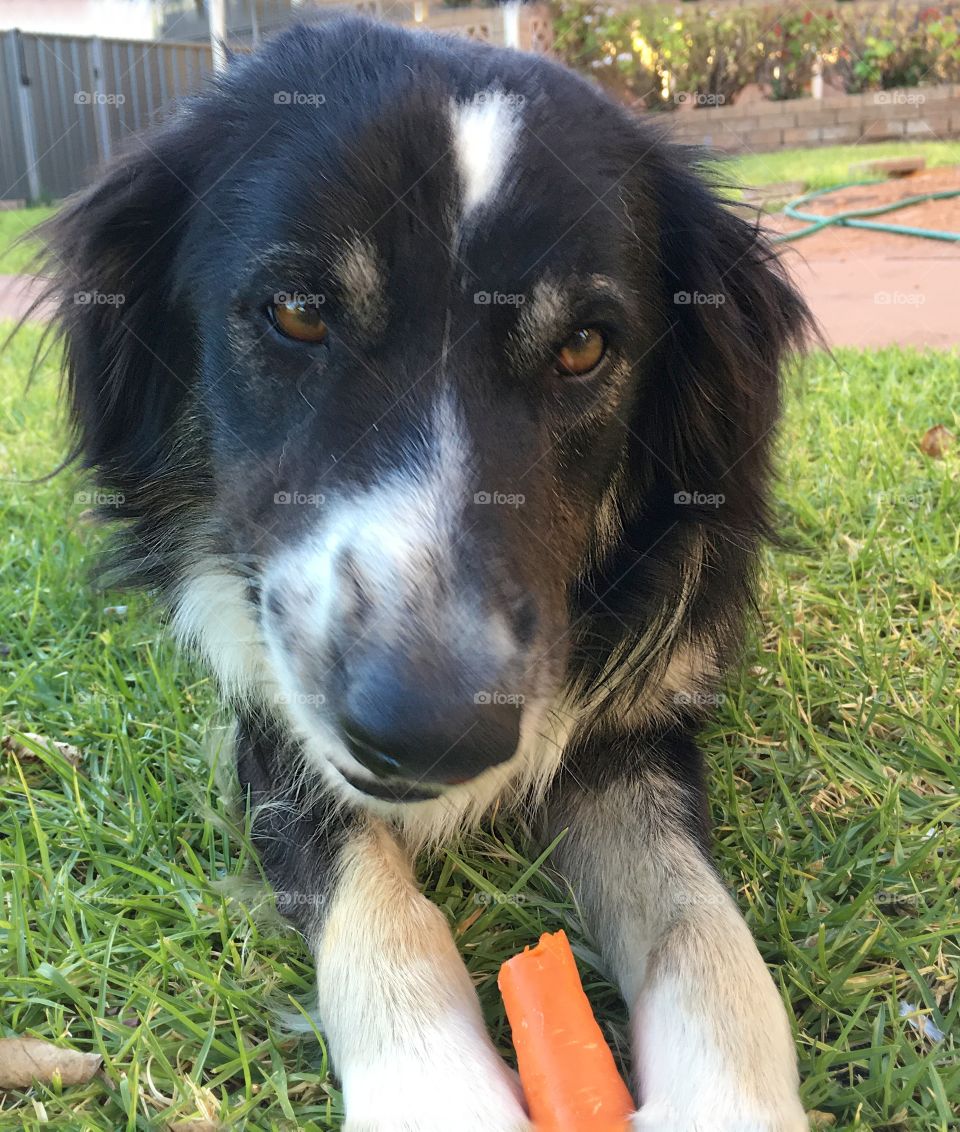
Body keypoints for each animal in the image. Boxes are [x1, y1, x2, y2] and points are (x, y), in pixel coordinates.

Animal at [43, 17, 810, 1132]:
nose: (430, 730)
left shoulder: (634, 733)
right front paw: (440, 1092)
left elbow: (702, 925)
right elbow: (371, 903)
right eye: (297, 312)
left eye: (585, 346)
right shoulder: (274, 724)